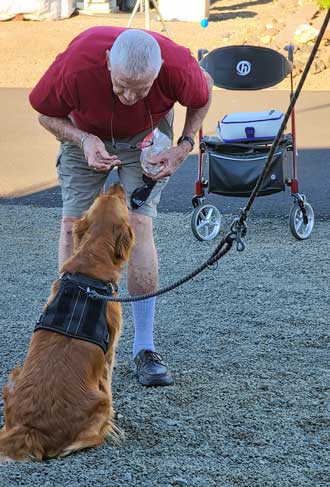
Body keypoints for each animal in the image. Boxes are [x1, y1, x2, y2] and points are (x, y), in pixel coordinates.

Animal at [0, 183, 134, 462]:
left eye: (102, 196)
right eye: (119, 199)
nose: (117, 184)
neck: (89, 270)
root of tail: (29, 429)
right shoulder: (110, 352)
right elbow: (109, 380)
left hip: (13, 376)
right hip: (100, 402)